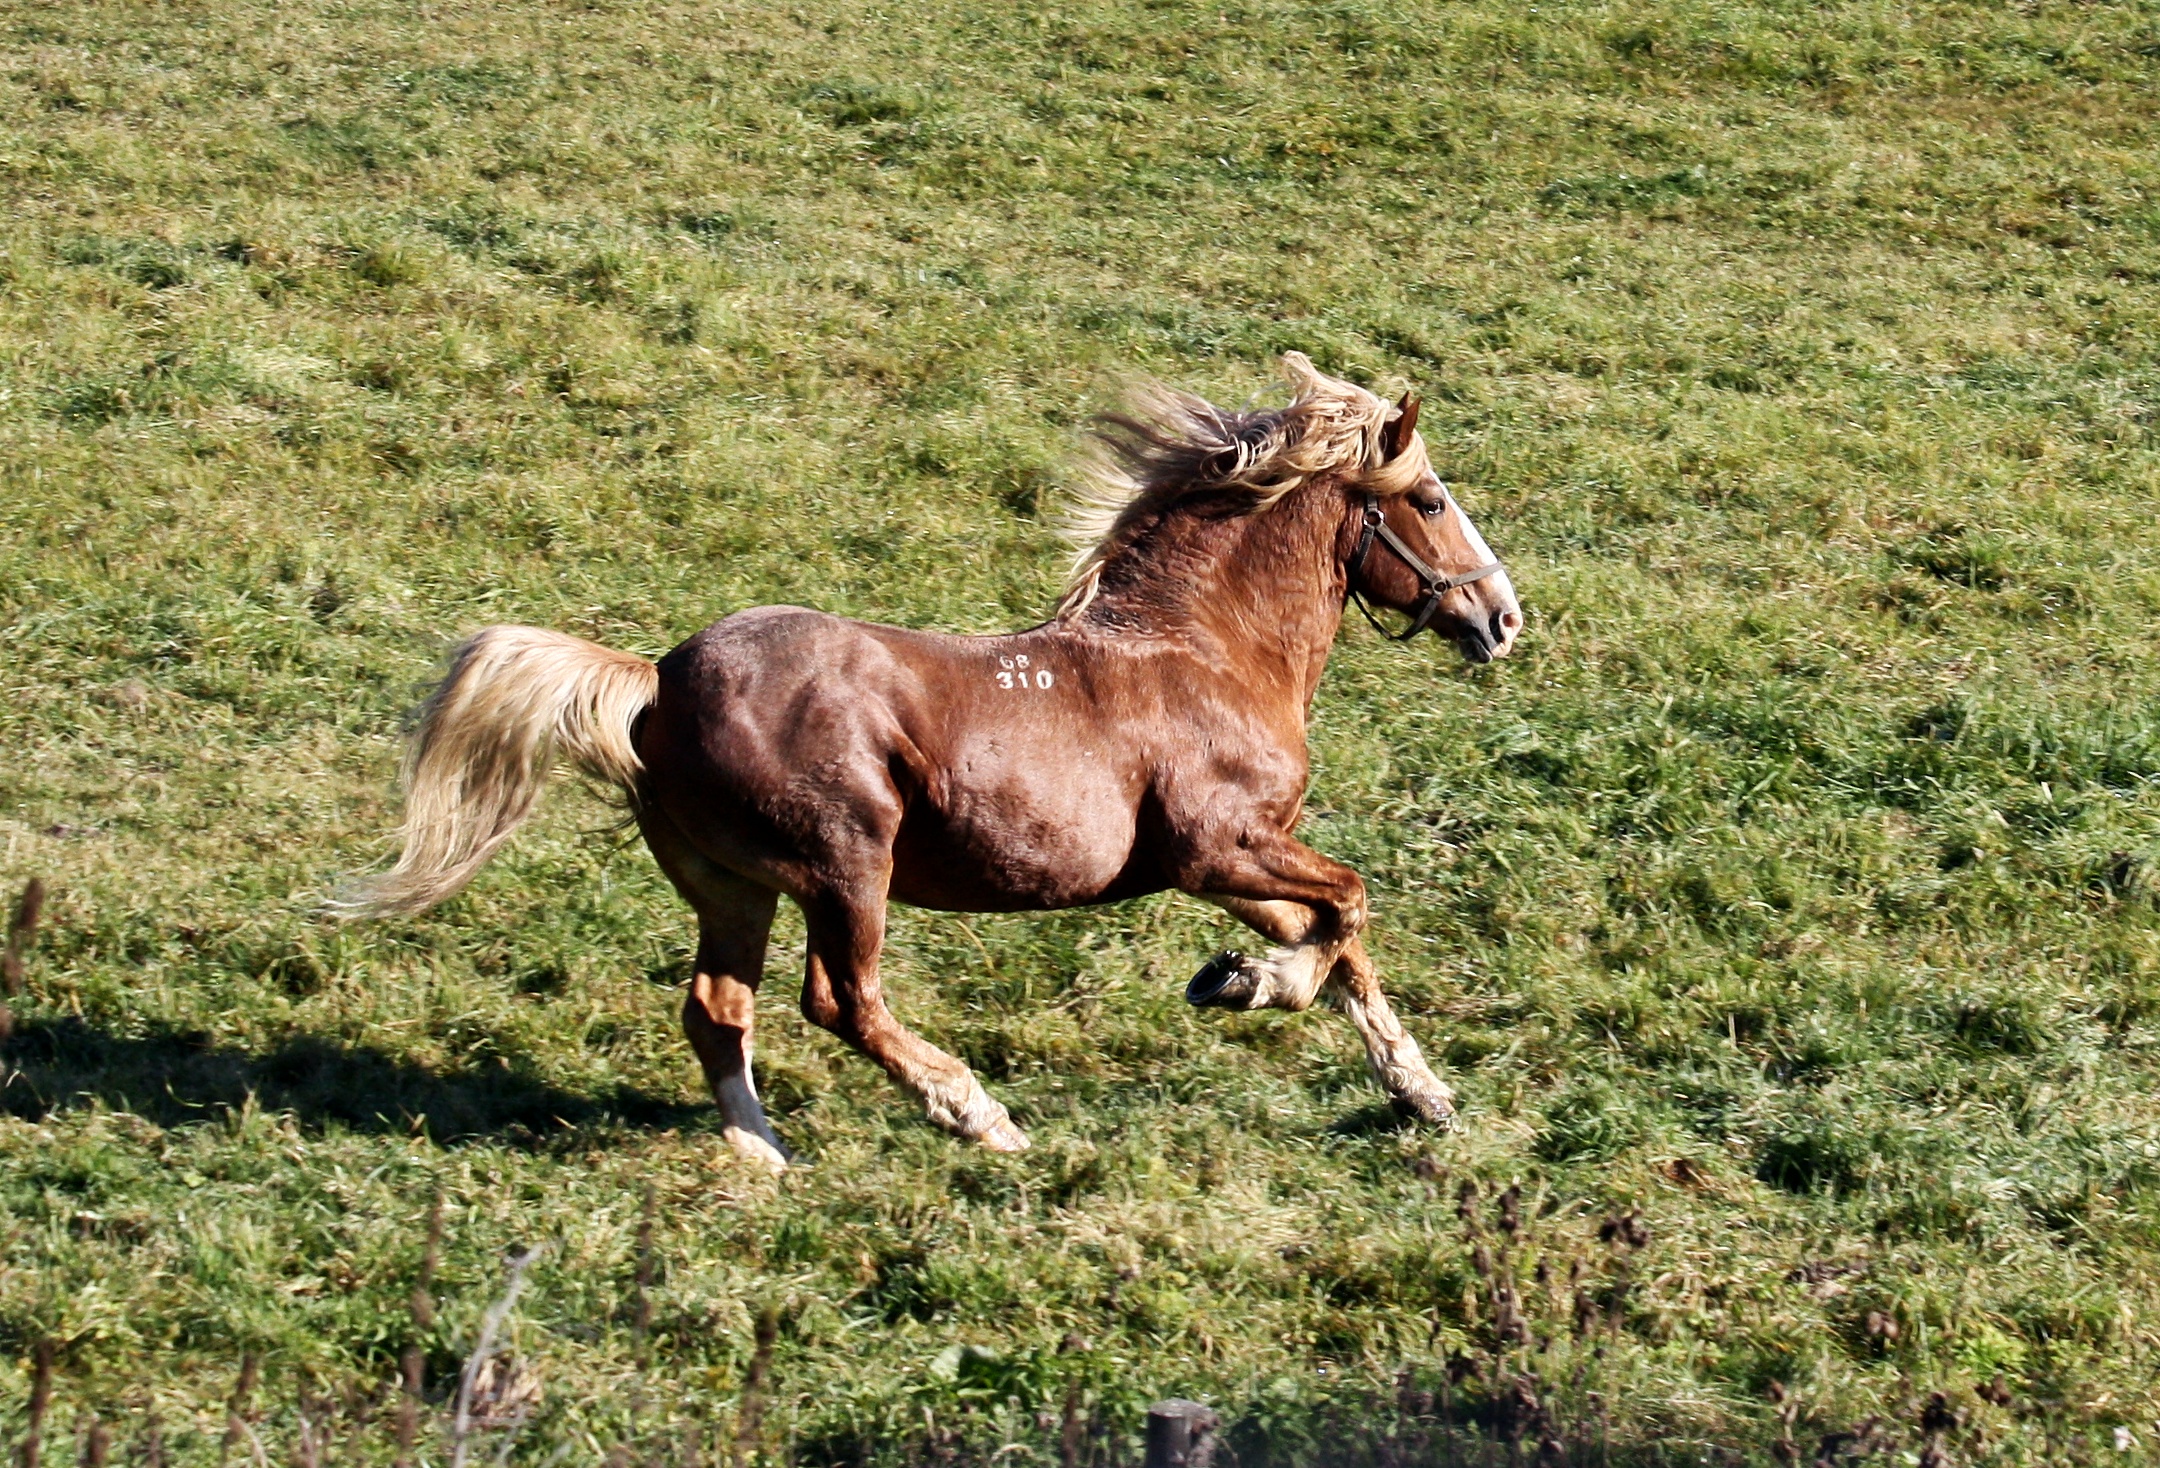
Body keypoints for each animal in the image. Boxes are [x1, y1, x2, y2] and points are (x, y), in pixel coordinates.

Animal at [341, 356, 1520, 1165]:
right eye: (1429, 499)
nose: (1504, 618)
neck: (1202, 650)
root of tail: (657, 681)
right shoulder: (1216, 845)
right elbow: (1349, 907)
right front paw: (1244, 984)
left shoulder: (1232, 861)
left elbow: (1333, 940)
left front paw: (1410, 1086)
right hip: (843, 867)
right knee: (839, 1001)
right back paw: (978, 1115)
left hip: (731, 886)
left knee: (718, 1009)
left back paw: (764, 1154)